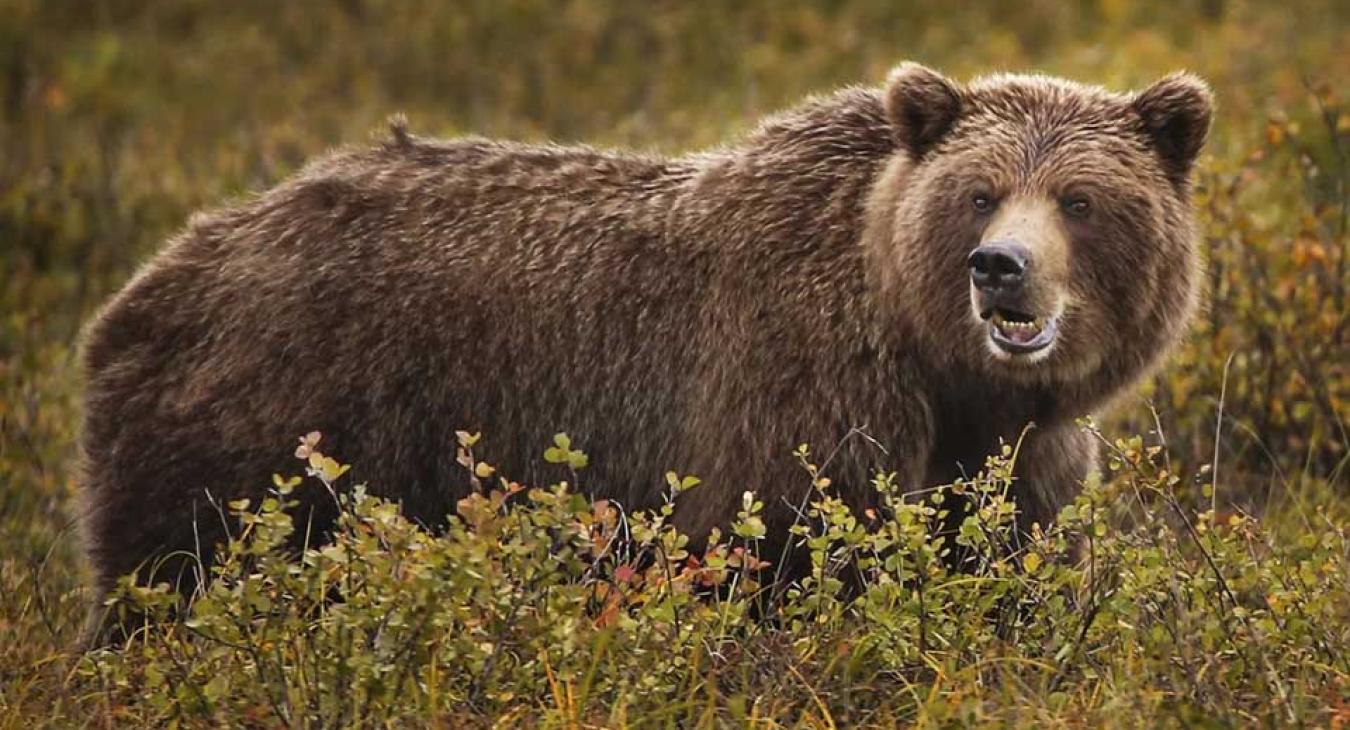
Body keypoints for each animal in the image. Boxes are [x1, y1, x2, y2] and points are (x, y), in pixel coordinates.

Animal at [76, 64, 1215, 626]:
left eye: (1078, 199)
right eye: (980, 191)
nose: (1000, 267)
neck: (938, 363)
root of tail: (159, 269)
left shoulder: (1021, 456)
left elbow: (1004, 566)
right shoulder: (794, 397)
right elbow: (788, 559)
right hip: (265, 423)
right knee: (176, 580)